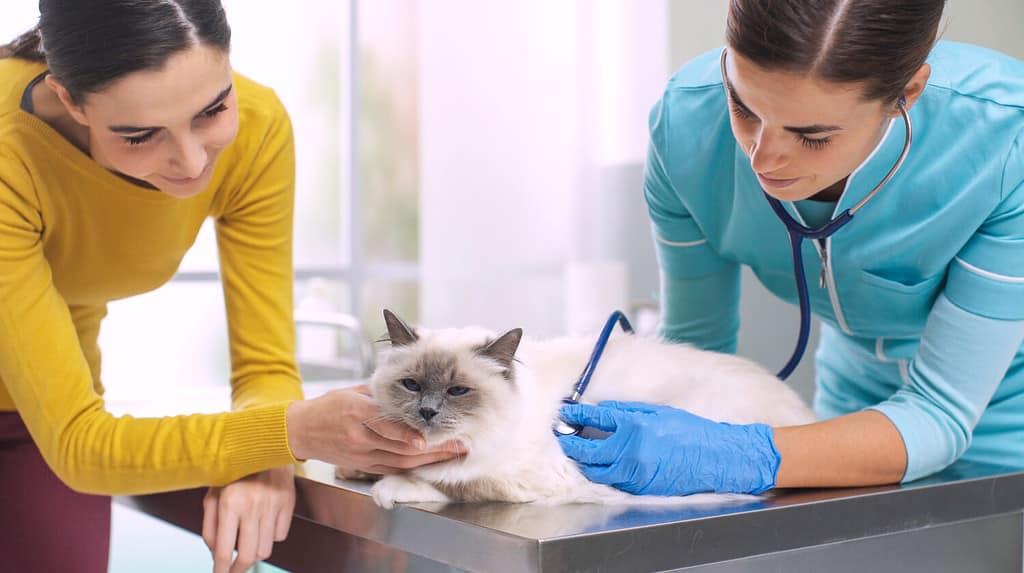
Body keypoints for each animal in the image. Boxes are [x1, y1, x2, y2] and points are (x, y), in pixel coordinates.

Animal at [335, 311, 815, 507]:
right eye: (412, 385)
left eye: (457, 391)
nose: (428, 412)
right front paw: (355, 469)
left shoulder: (534, 477)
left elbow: (453, 482)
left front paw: (393, 487)